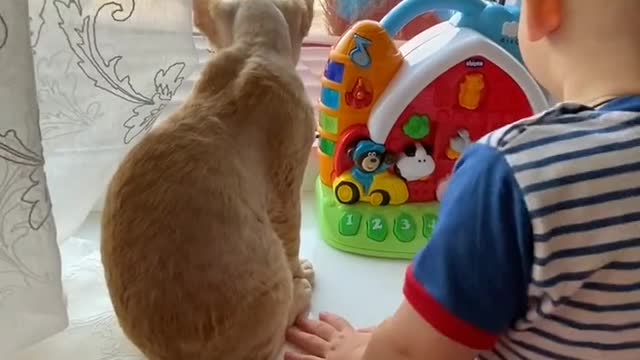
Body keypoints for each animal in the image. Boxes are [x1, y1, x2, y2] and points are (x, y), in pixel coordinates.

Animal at [100, 0, 318, 360]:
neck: (252, 48)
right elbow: (293, 239)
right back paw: (300, 291)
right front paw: (301, 270)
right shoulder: (285, 187)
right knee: (277, 335)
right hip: (270, 277)